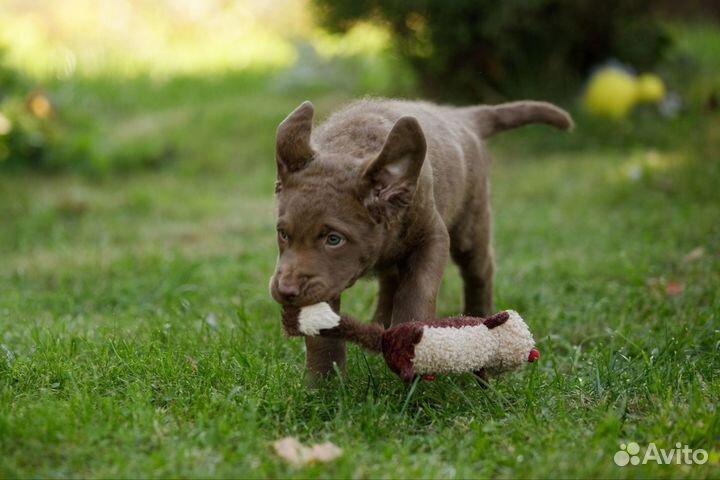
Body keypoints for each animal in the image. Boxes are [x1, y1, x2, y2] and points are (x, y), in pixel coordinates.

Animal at [270, 98, 572, 378]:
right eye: (283, 233)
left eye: (334, 239)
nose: (286, 291)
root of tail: (461, 115)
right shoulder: (326, 279)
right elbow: (320, 330)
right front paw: (324, 385)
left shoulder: (432, 237)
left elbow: (417, 289)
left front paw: (414, 348)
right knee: (390, 281)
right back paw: (380, 323)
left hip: (471, 223)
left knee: (479, 272)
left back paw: (479, 322)